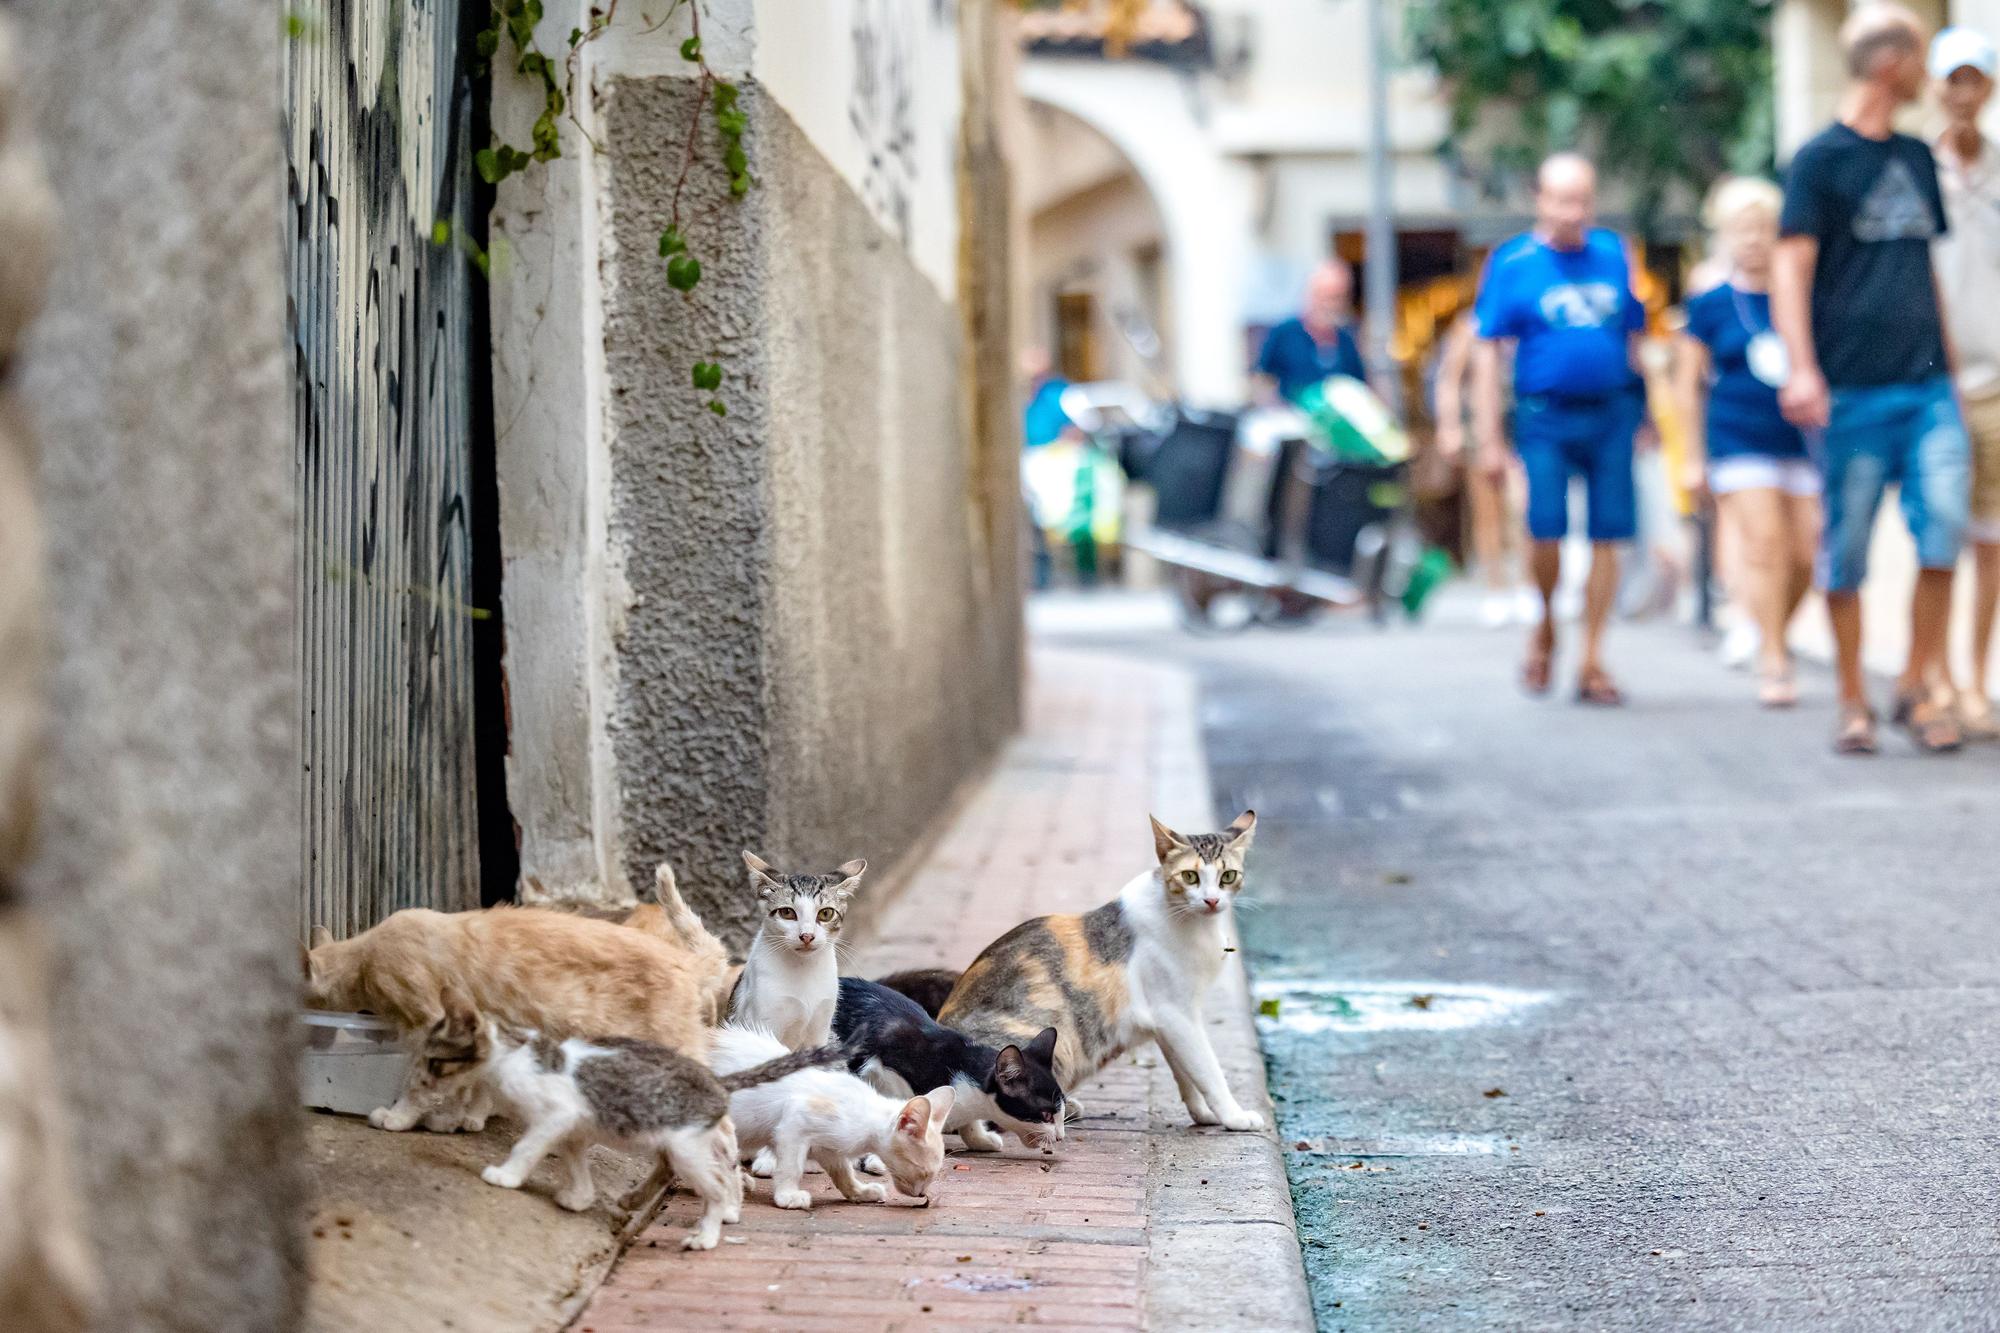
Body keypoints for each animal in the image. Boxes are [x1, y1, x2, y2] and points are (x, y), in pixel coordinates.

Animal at [406, 996, 844, 1248]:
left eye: (435, 1060)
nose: (419, 1080)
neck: (510, 1057)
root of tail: (714, 1081)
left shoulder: (556, 1114)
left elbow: (526, 1146)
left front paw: (506, 1176)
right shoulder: (573, 1129)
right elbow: (575, 1161)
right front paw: (579, 1197)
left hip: (685, 1148)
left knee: (718, 1185)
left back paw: (706, 1234)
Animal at [704, 1016, 952, 1200]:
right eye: (924, 1172)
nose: (922, 1194)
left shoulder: (827, 1146)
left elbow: (842, 1171)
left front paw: (860, 1192)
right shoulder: (795, 1119)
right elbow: (791, 1165)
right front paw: (788, 1195)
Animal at [728, 852, 868, 1048]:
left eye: (826, 913)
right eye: (787, 912)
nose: (807, 936)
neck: (803, 969)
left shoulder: (821, 1027)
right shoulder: (763, 1024)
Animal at [940, 808, 1264, 1128]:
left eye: (1228, 876)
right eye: (1190, 876)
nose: (1212, 900)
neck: (1195, 925)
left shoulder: (1168, 1023)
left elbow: (1185, 1073)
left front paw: (1203, 1115)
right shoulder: (1176, 1014)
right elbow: (1208, 1070)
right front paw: (1234, 1116)